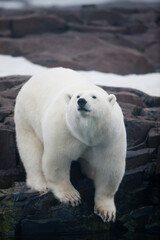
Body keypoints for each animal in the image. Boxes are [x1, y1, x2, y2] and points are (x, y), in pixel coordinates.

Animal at [14, 67, 126, 221]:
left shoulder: (108, 139)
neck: (88, 133)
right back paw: (40, 184)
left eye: (94, 97)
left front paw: (106, 212)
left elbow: (109, 169)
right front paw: (71, 197)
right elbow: (58, 160)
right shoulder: (65, 131)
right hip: (27, 115)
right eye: (77, 97)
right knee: (31, 150)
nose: (82, 101)